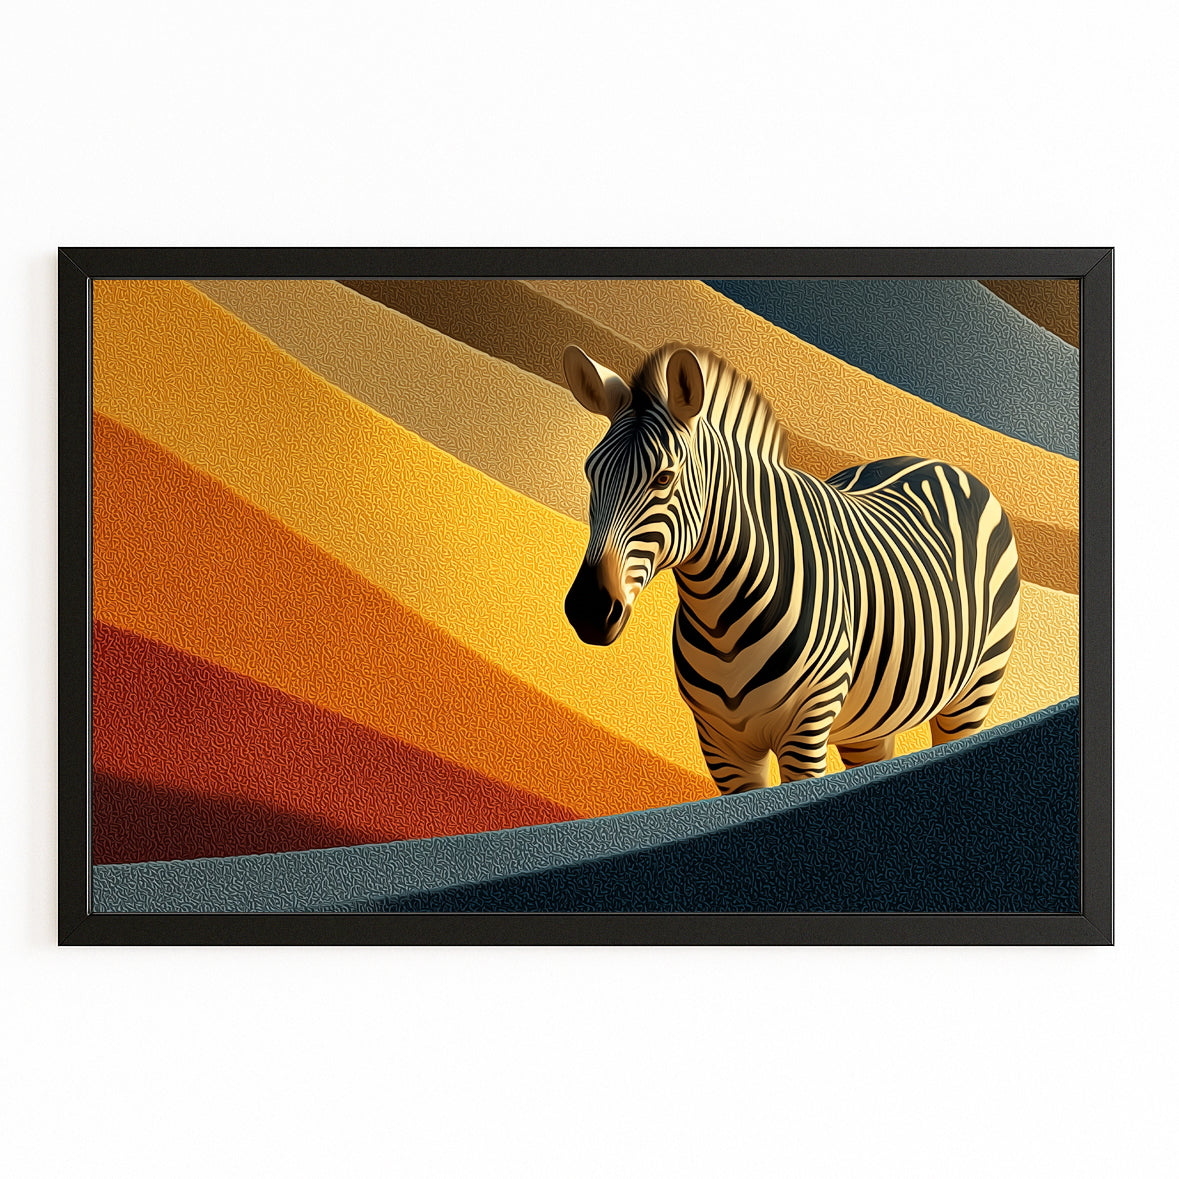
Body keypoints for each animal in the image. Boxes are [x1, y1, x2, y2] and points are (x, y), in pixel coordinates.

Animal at [562, 342, 1021, 793]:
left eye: (663, 478)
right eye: (589, 473)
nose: (588, 609)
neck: (720, 620)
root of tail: (943, 465)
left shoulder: (808, 728)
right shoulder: (722, 746)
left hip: (974, 691)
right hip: (871, 723)